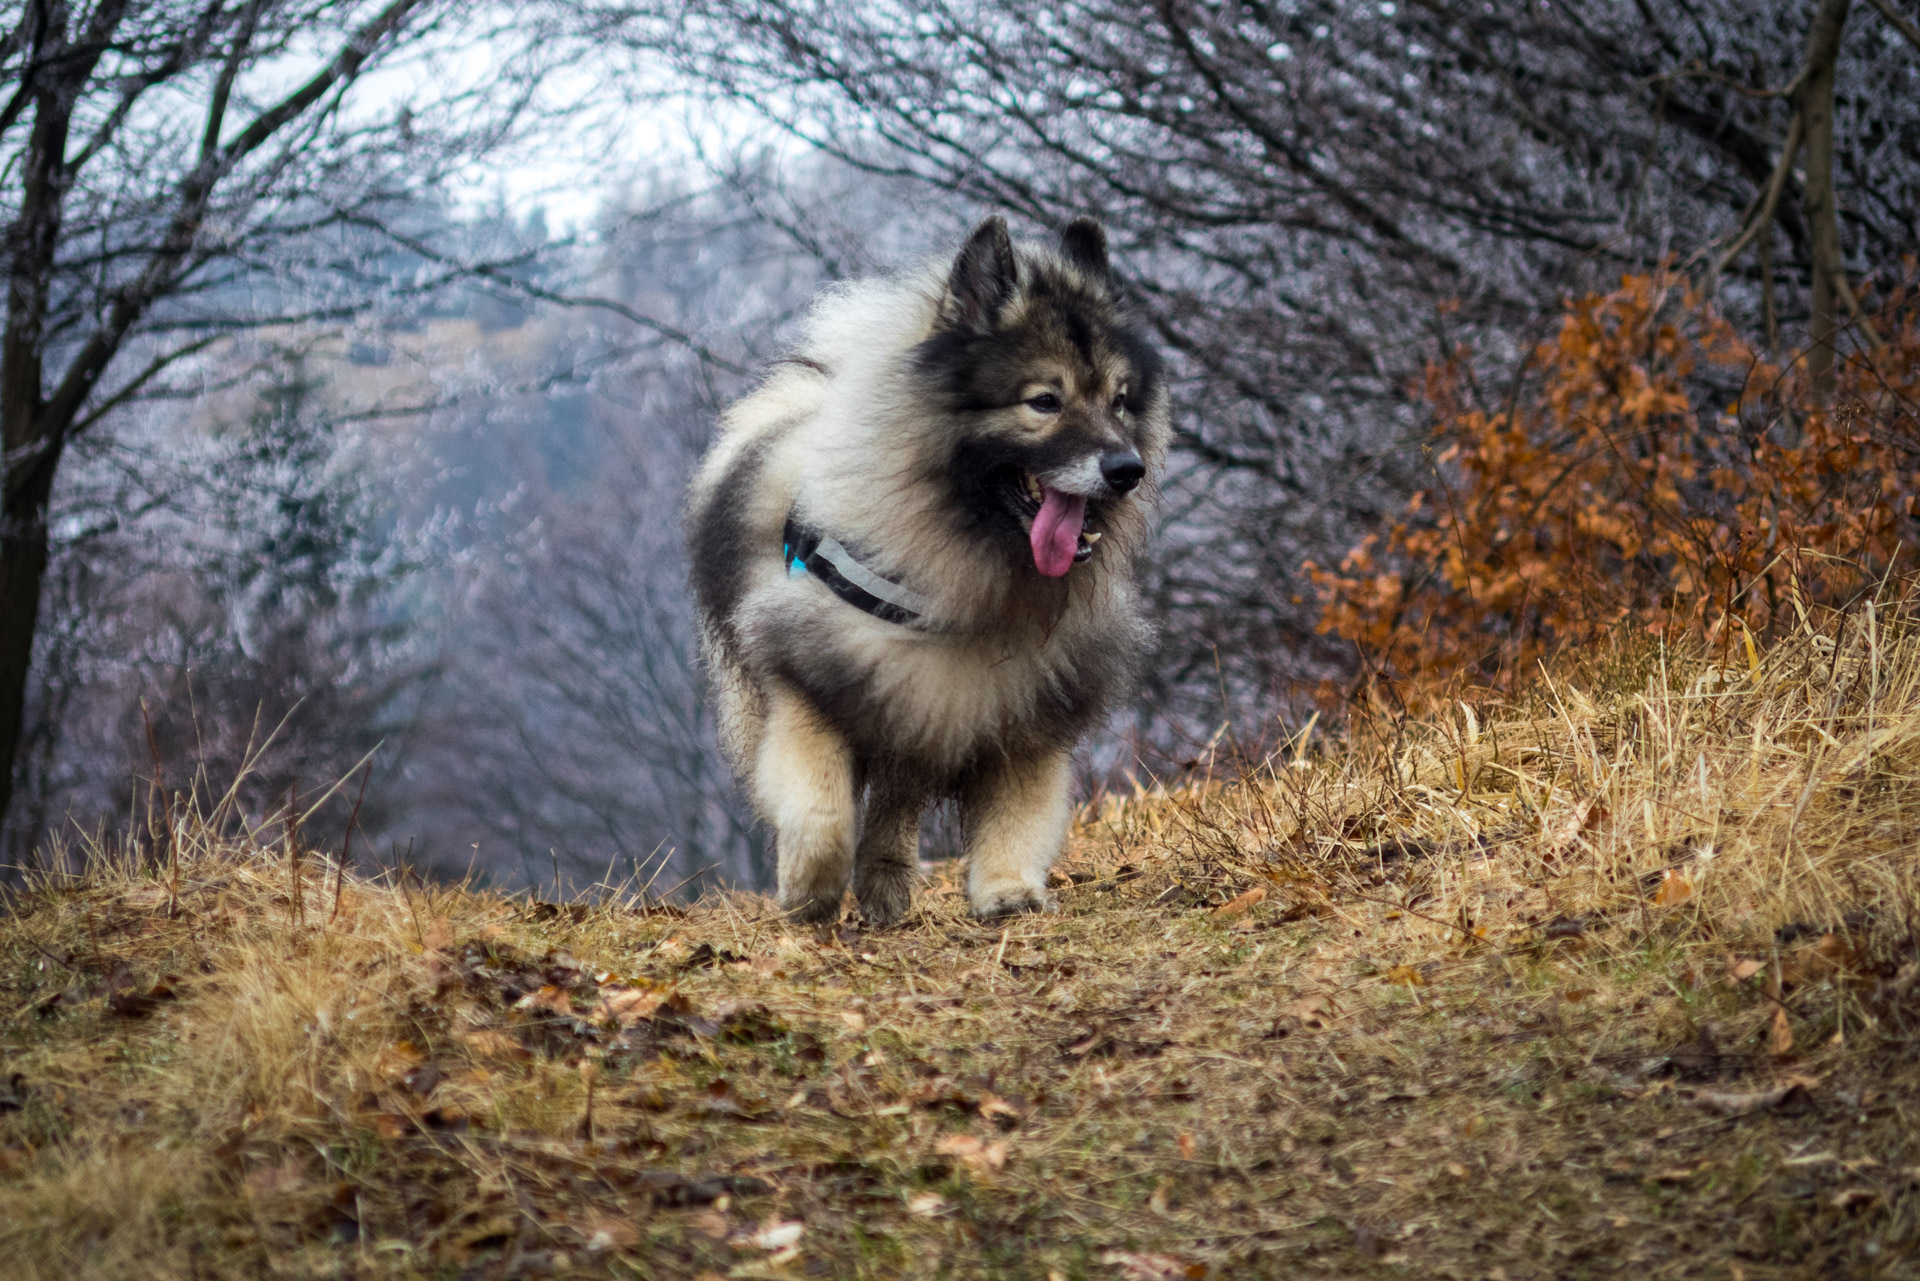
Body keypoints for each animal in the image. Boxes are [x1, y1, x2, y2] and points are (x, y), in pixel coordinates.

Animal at [691, 217, 1167, 921]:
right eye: (1044, 401)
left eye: (1120, 401)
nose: (1127, 469)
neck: (963, 569)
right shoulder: (810, 679)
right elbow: (821, 810)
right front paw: (809, 890)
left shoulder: (1023, 705)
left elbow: (1019, 814)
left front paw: (1007, 890)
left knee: (897, 802)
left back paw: (887, 884)